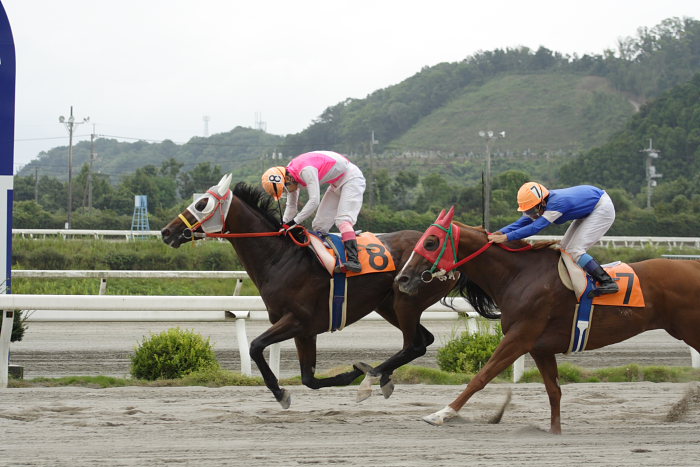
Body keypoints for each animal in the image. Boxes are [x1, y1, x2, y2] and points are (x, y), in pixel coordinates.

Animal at [162, 176, 462, 410]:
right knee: (423, 340)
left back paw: (372, 377)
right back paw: (381, 376)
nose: (167, 232)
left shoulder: (298, 320)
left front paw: (281, 392)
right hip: (388, 305)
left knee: (415, 344)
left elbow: (255, 346)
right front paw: (342, 376)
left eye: (202, 204)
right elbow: (309, 379)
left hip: (406, 301)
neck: (281, 258)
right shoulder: (305, 330)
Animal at [396, 208, 700, 436]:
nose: (402, 278)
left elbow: (481, 377)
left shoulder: (520, 337)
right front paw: (554, 431)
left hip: (690, 329)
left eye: (431, 242)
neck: (522, 275)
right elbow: (554, 390)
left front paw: (441, 414)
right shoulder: (539, 347)